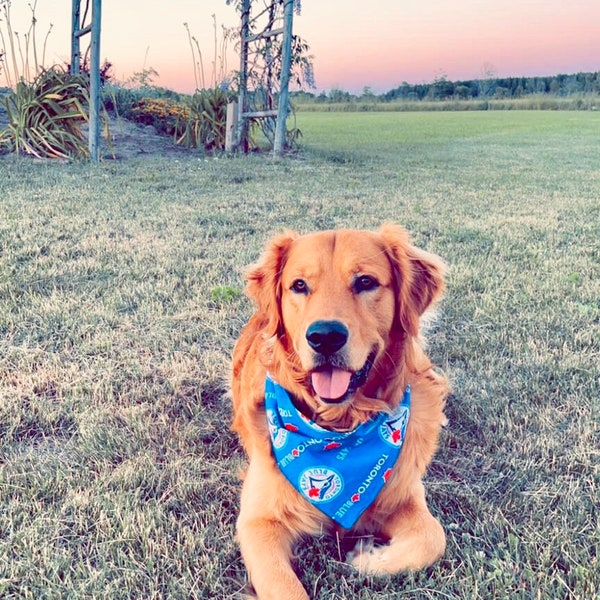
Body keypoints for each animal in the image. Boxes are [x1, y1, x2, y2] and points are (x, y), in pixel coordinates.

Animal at [232, 223, 448, 596]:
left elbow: (433, 537)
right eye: (299, 285)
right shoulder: (259, 521)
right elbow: (284, 588)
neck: (339, 430)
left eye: (365, 282)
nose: (325, 336)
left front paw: (367, 559)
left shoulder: (403, 492)